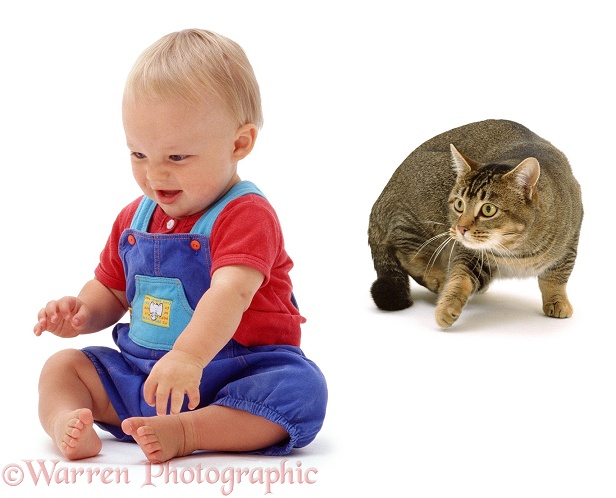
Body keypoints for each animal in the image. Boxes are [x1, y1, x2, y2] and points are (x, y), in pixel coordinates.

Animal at [368, 119, 584, 328]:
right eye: (459, 204)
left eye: (488, 209)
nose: (461, 228)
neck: (516, 252)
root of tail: (381, 197)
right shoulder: (470, 254)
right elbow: (459, 279)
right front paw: (446, 305)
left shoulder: (569, 245)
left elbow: (555, 279)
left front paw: (557, 301)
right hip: (417, 218)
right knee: (404, 251)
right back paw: (437, 279)